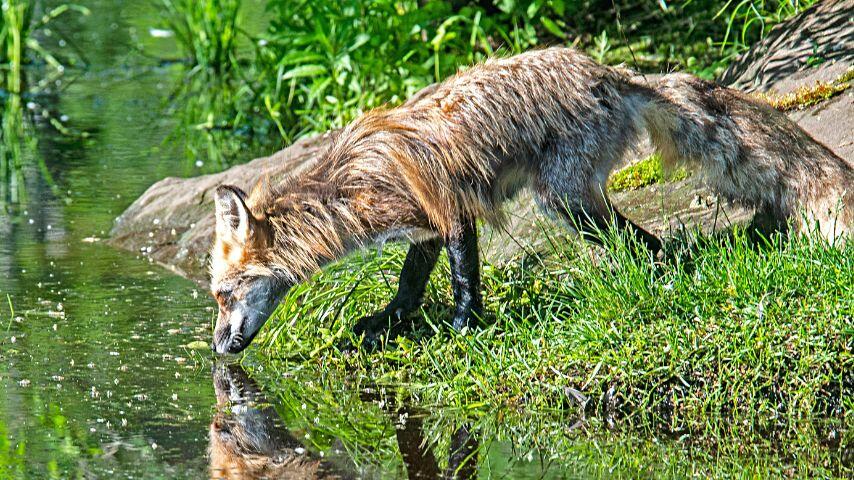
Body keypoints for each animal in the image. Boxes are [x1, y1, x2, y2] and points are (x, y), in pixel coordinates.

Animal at [209, 47, 854, 354]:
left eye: (220, 295)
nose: (217, 349)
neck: (349, 186)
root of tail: (612, 72)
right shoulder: (422, 227)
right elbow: (410, 283)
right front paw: (391, 322)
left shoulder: (450, 208)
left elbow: (464, 278)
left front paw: (465, 329)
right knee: (649, 241)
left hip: (562, 201)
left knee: (641, 239)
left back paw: (658, 277)